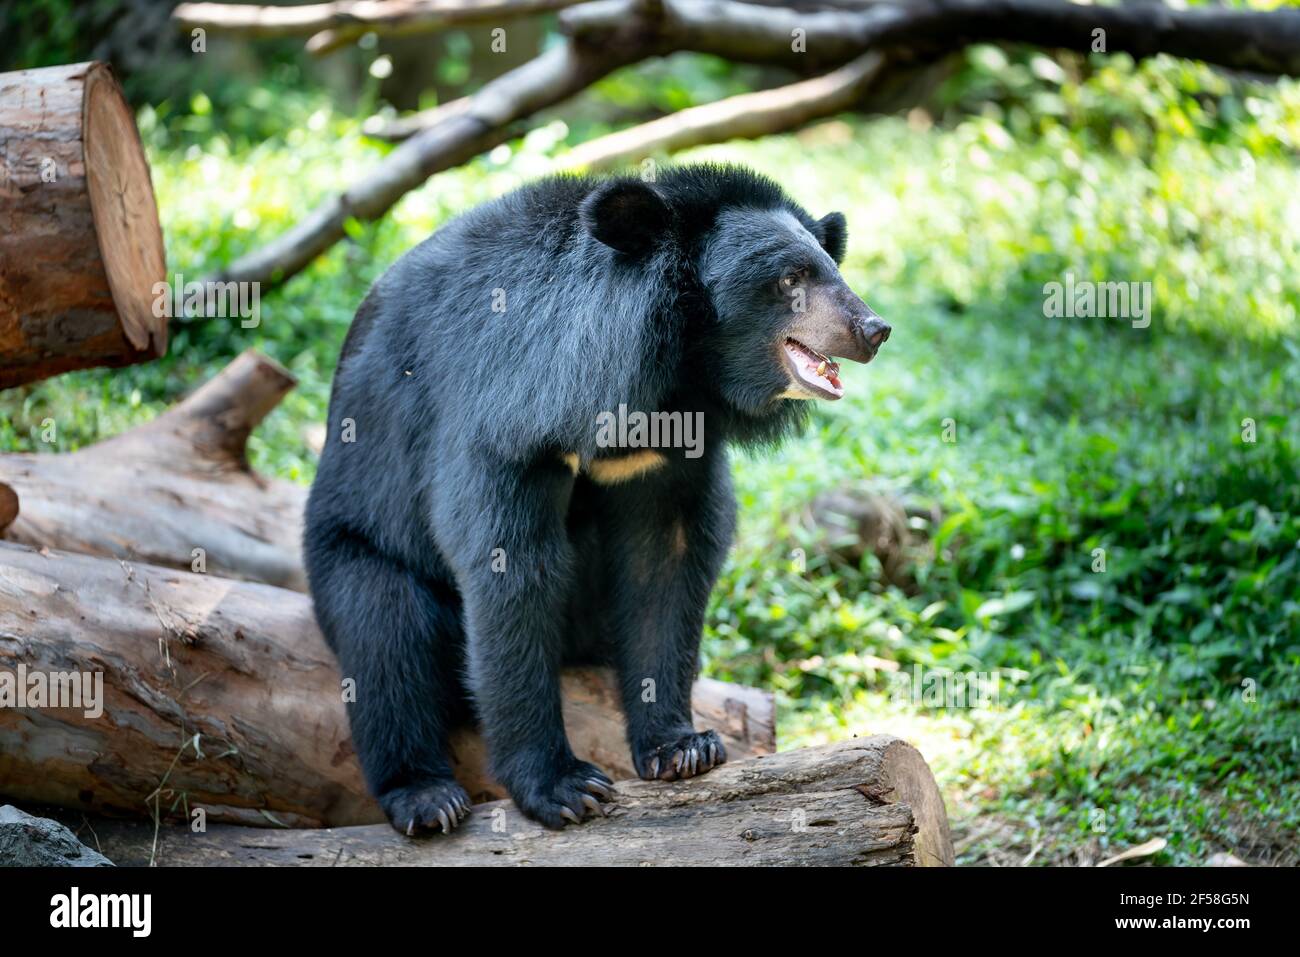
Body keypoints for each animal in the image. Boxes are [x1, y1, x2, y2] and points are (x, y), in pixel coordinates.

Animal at [305, 162, 894, 832]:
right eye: (791, 278)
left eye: (832, 269)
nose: (874, 330)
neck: (664, 377)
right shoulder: (501, 416)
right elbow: (507, 564)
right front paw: (563, 786)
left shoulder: (668, 451)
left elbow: (666, 558)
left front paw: (682, 746)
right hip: (353, 540)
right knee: (383, 635)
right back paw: (427, 797)